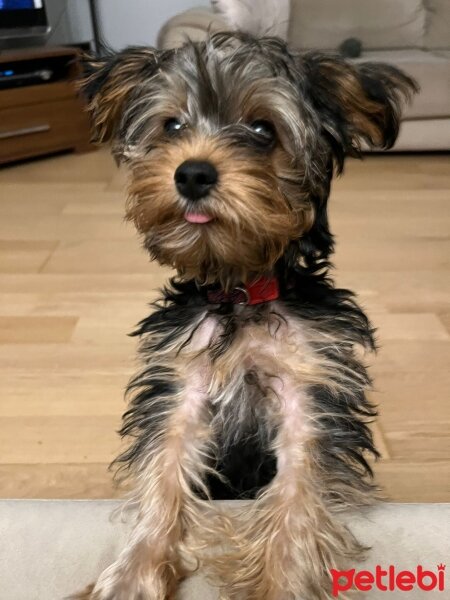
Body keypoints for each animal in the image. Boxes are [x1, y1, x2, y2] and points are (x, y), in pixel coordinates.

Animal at [75, 31, 416, 600]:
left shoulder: (308, 380)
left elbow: (297, 486)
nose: (191, 172)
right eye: (172, 126)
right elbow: (166, 462)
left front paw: (280, 581)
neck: (240, 288)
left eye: (262, 130)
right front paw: (133, 574)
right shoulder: (183, 378)